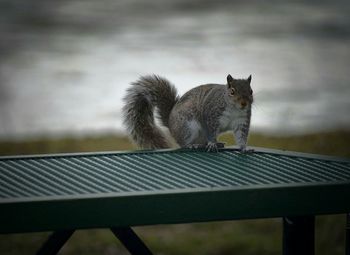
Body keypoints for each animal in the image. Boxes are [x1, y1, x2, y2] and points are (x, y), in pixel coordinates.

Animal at [123, 73, 254, 151]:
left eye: (251, 91)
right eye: (232, 91)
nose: (244, 103)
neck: (234, 110)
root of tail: (170, 123)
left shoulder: (242, 121)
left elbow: (241, 136)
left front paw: (244, 148)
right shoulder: (211, 116)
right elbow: (211, 132)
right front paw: (212, 143)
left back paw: (216, 143)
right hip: (187, 127)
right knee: (183, 143)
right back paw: (193, 145)